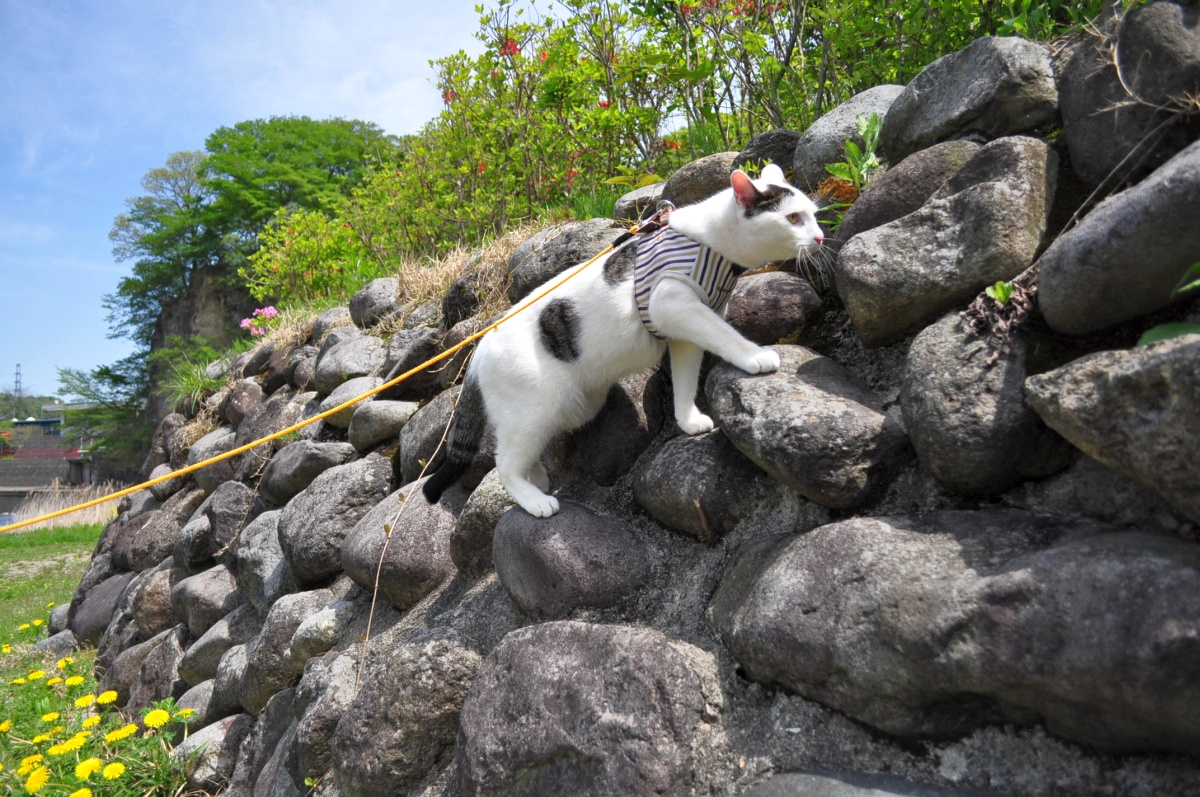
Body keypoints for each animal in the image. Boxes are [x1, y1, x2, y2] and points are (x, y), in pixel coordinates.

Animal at [422, 164, 825, 520]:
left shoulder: (683, 330)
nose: (820, 237)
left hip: (570, 408)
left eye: (814, 215)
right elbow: (725, 335)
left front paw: (687, 420)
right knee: (504, 463)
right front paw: (756, 356)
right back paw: (535, 500)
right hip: (533, 410)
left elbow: (685, 377)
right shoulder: (672, 304)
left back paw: (537, 478)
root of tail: (477, 351)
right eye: (793, 218)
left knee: (522, 453)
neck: (709, 243)